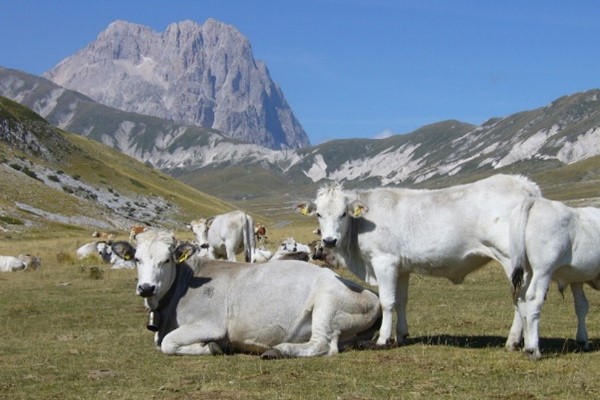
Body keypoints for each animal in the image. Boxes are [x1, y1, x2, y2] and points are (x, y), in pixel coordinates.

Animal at [113, 230, 380, 358]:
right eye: (136, 259)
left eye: (166, 260)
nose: (146, 287)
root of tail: (373, 296)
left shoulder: (209, 324)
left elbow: (168, 344)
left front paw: (211, 347)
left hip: (327, 305)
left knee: (323, 345)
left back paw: (277, 350)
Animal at [298, 173, 540, 348]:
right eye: (319, 214)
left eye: (343, 214)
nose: (329, 240)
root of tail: (523, 183)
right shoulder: (402, 268)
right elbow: (401, 301)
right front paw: (402, 335)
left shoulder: (384, 262)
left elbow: (387, 301)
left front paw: (383, 339)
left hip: (511, 259)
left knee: (520, 297)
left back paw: (513, 341)